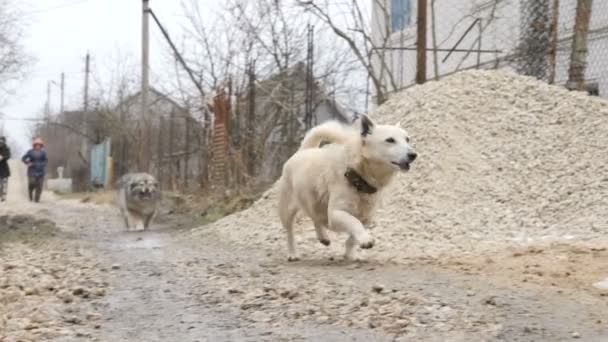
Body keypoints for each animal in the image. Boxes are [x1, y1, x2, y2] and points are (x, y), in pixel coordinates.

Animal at [276, 115, 416, 262]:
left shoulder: (367, 218)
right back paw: (293, 253)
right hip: (286, 210)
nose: (413, 154)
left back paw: (323, 237)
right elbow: (354, 222)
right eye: (390, 140)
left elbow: (352, 238)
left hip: (313, 201)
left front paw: (350, 254)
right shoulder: (336, 214)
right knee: (289, 231)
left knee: (315, 217)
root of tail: (304, 150)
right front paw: (366, 240)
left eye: (407, 139)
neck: (358, 177)